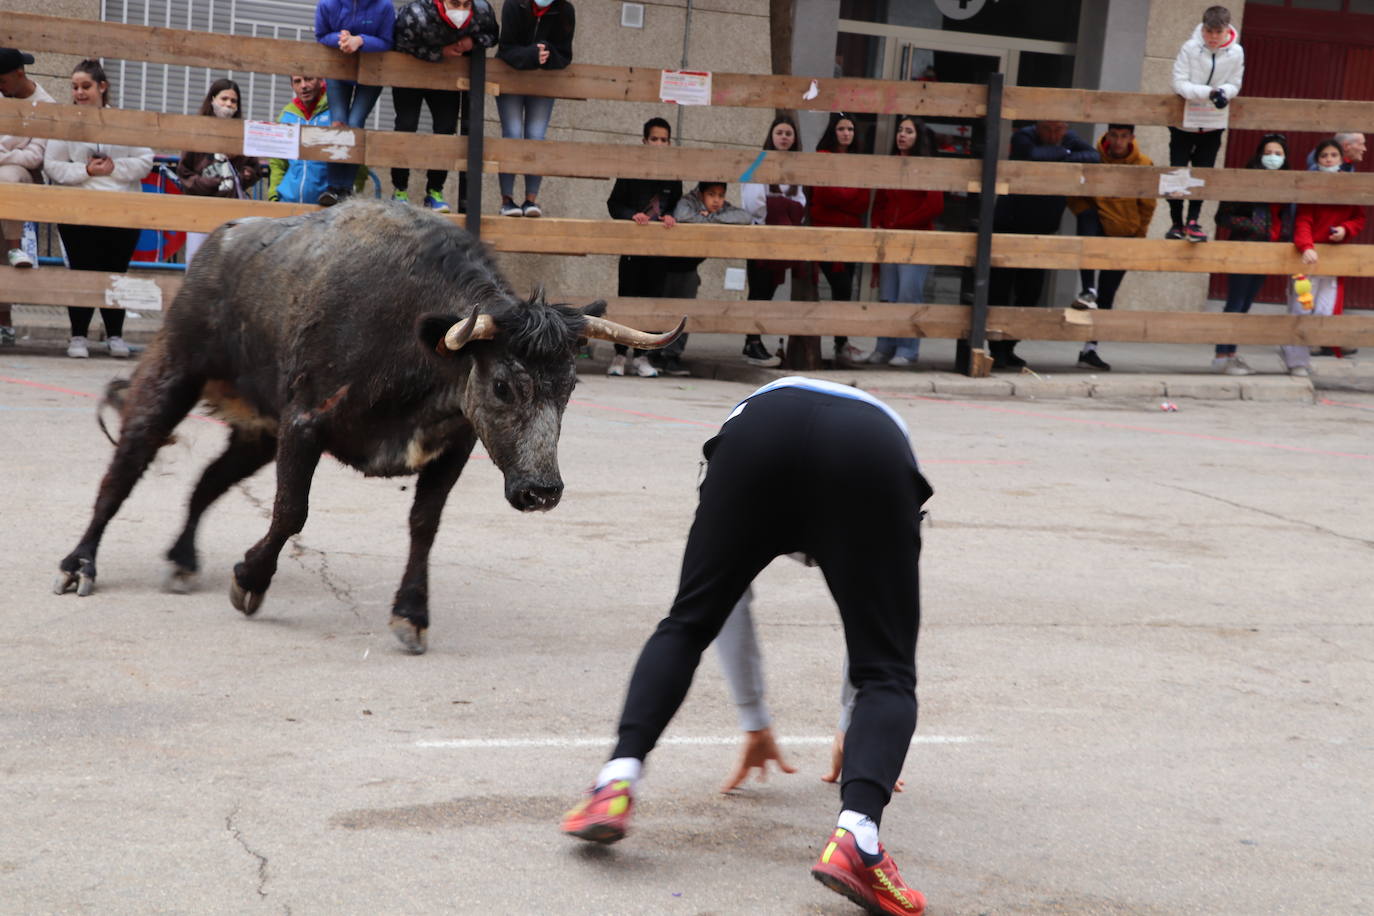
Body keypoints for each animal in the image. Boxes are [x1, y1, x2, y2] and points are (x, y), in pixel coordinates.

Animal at [53, 204, 681, 656]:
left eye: (570, 386)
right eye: (503, 385)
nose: (542, 492)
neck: (413, 342)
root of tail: (221, 239)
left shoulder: (452, 446)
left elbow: (424, 526)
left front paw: (412, 614)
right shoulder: (304, 425)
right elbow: (291, 512)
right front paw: (250, 580)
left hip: (259, 431)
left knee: (206, 482)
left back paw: (182, 559)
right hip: (175, 373)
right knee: (124, 469)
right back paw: (79, 565)